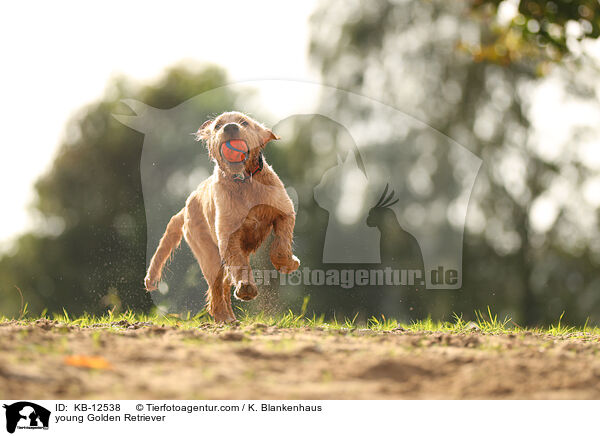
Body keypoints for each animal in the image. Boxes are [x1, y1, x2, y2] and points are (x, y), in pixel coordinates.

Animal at [144, 111, 302, 324]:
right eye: (218, 126)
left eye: (244, 122)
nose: (230, 127)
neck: (244, 182)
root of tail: (186, 207)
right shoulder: (228, 235)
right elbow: (240, 265)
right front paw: (246, 287)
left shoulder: (284, 212)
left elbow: (280, 247)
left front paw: (288, 264)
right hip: (210, 257)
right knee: (216, 293)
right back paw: (225, 318)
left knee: (224, 287)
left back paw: (230, 318)